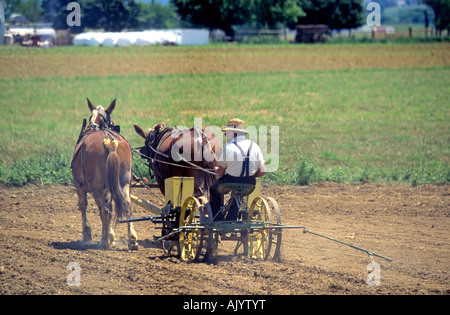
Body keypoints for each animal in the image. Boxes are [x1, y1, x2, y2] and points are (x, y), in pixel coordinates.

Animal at [70, 99, 137, 252]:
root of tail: (110, 143)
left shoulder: (79, 185)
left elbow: (83, 205)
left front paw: (87, 233)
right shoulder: (109, 189)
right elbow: (111, 208)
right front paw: (111, 235)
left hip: (96, 189)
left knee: (103, 211)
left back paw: (104, 241)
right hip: (124, 183)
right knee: (127, 205)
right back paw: (132, 240)